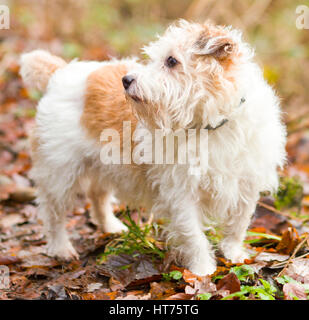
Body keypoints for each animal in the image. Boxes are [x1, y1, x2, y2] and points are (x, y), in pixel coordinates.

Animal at [19, 20, 286, 276]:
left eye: (171, 60)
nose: (126, 80)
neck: (211, 126)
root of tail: (61, 72)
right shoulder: (181, 194)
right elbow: (194, 235)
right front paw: (202, 269)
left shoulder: (246, 185)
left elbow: (238, 225)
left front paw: (233, 254)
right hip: (59, 173)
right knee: (53, 213)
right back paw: (61, 248)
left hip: (103, 165)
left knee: (98, 195)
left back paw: (111, 227)